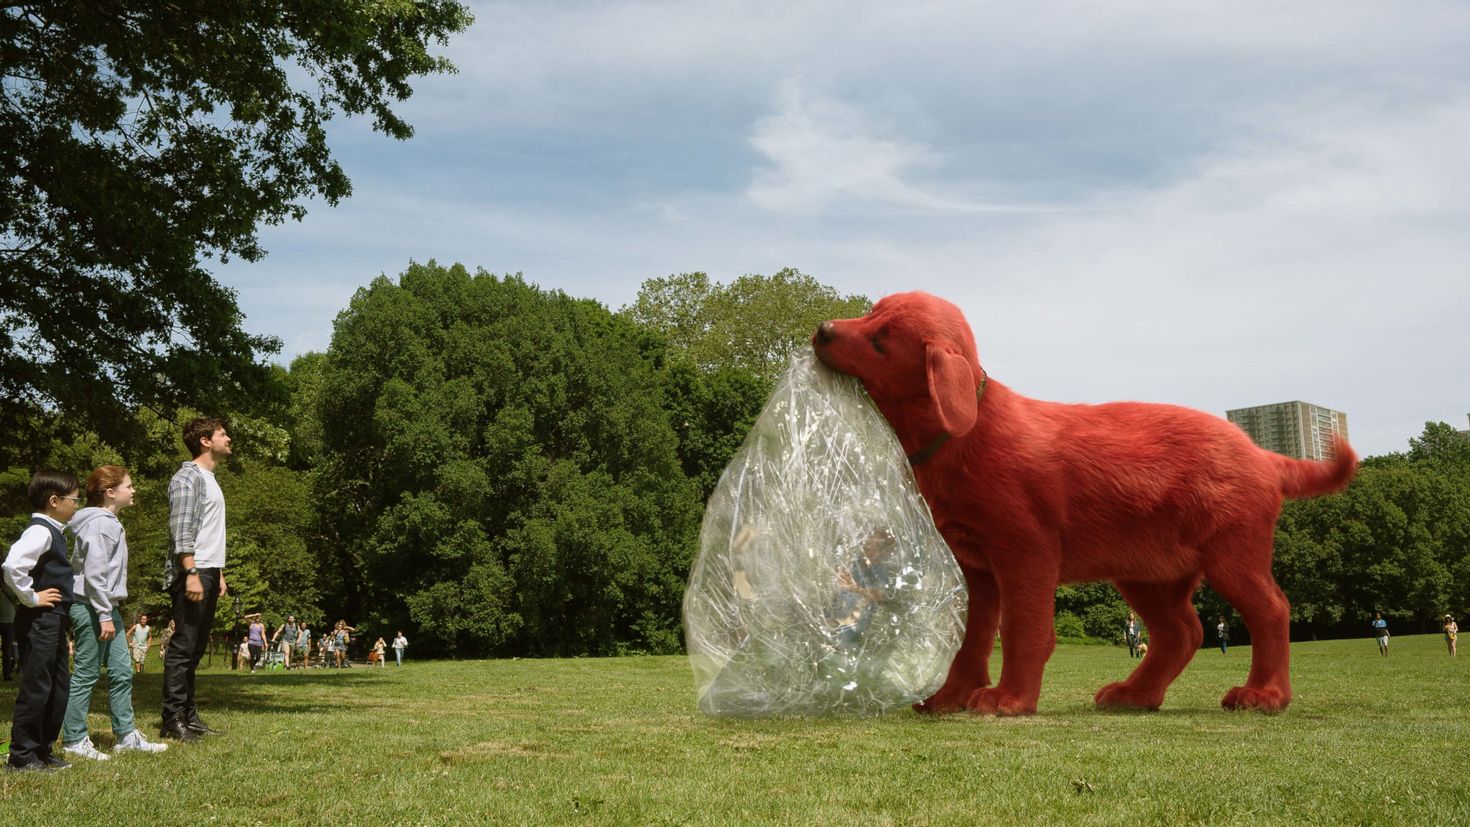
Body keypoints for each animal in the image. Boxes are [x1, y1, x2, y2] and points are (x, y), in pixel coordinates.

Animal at [817, 293, 1352, 713]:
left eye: (881, 341)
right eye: (870, 311)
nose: (822, 330)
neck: (963, 438)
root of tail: (1262, 454)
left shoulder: (1027, 553)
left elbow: (1023, 630)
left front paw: (1009, 701)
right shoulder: (978, 566)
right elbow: (973, 638)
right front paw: (951, 699)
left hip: (1232, 553)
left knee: (1272, 610)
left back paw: (1264, 695)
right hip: (1148, 574)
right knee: (1183, 631)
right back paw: (1136, 696)